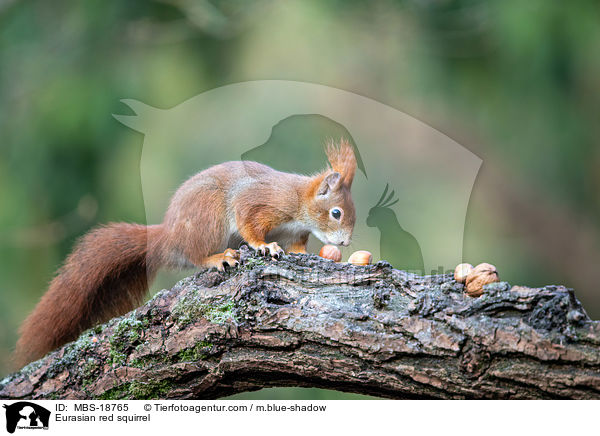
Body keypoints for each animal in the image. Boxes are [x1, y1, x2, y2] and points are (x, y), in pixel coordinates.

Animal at [15, 138, 356, 366]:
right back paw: (219, 257)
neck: (300, 206)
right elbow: (250, 224)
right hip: (209, 217)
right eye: (336, 213)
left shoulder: (295, 234)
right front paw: (263, 245)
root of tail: (168, 238)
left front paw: (302, 256)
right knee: (196, 255)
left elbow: (296, 248)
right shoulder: (259, 203)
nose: (345, 243)